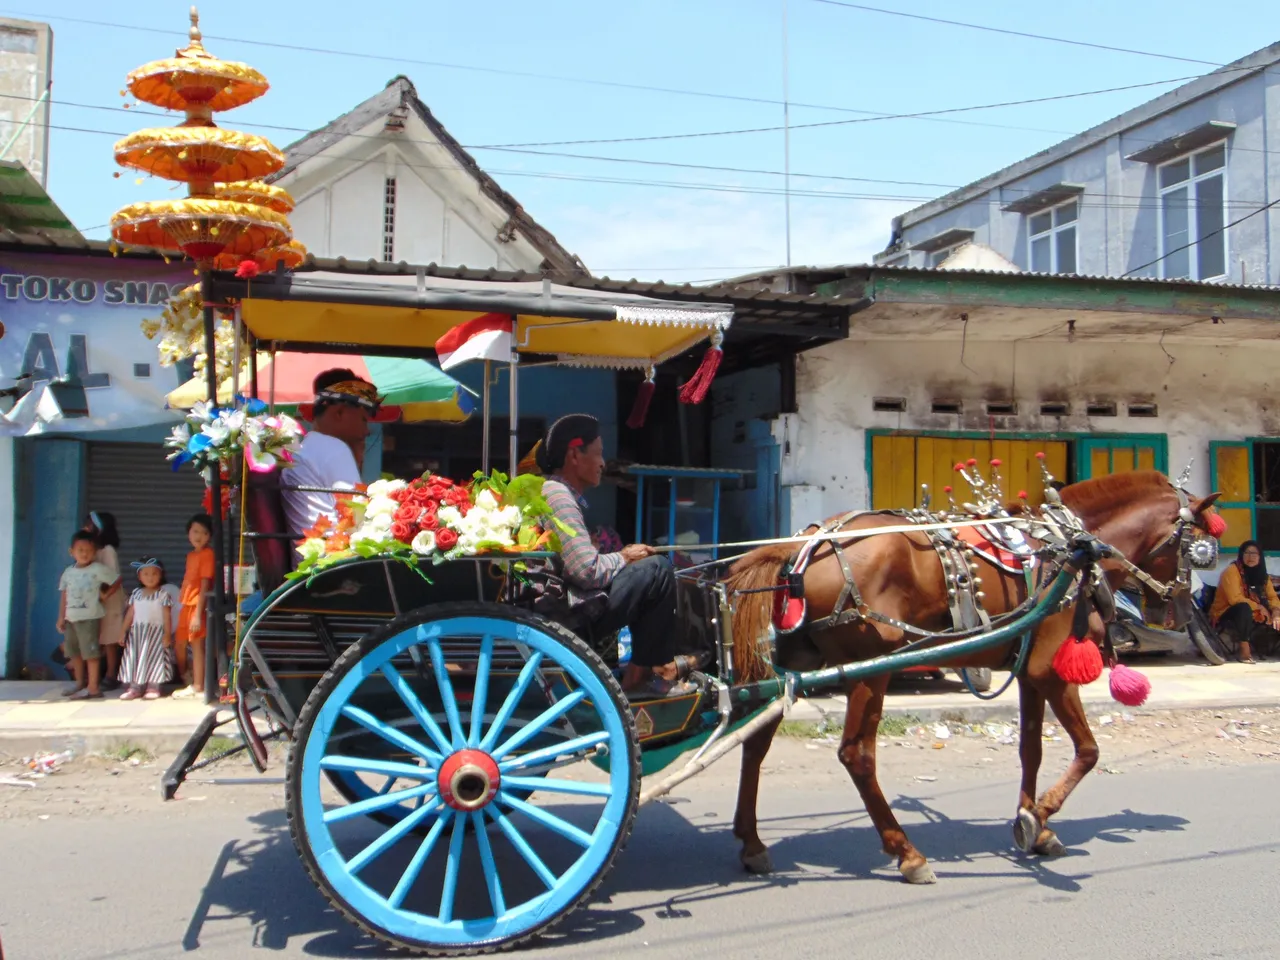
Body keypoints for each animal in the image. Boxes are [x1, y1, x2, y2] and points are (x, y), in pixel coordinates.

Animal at [721, 473, 1218, 885]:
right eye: (1199, 549)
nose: (1178, 610)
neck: (1071, 545)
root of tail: (805, 543)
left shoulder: (1028, 671)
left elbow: (1031, 748)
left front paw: (1034, 825)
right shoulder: (1051, 670)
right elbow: (1089, 750)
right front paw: (1039, 816)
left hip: (793, 664)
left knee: (754, 743)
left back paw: (752, 843)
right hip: (869, 668)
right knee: (855, 755)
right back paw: (907, 853)